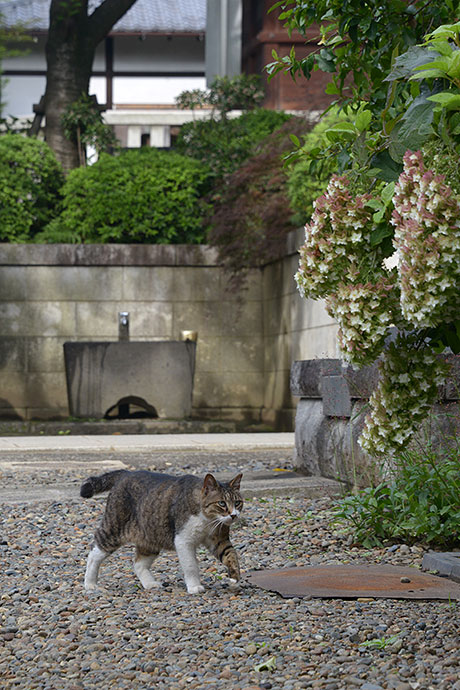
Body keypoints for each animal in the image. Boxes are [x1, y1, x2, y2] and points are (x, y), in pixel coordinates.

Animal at [80, 468, 243, 592]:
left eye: (238, 503)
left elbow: (231, 555)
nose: (234, 515)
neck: (208, 520)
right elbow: (191, 566)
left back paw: (150, 584)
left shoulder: (219, 539)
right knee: (94, 553)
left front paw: (235, 577)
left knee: (138, 564)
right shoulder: (183, 540)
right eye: (222, 503)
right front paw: (194, 587)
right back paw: (90, 584)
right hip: (114, 529)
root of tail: (126, 473)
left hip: (151, 536)